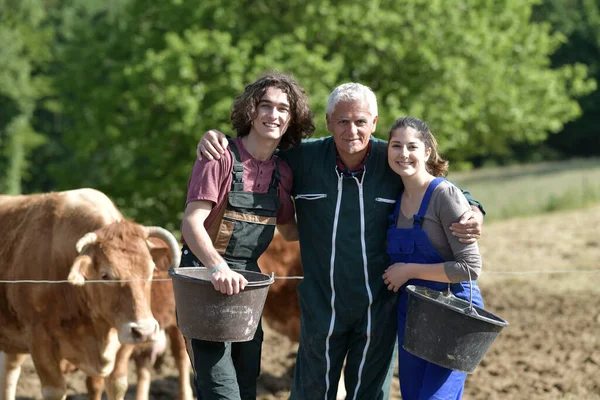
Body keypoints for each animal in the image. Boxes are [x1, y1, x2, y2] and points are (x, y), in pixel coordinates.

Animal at [0, 188, 179, 400]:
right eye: (105, 275)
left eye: (150, 270)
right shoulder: (38, 337)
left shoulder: (125, 337)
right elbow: (55, 390)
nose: (144, 331)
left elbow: (116, 384)